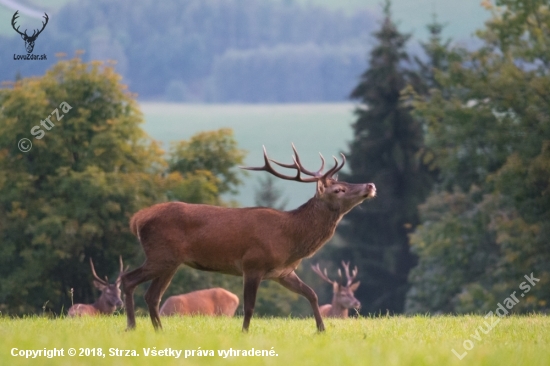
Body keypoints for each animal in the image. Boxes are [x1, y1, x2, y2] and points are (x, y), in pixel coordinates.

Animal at [122, 144, 378, 334]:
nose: (371, 185)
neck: (291, 240)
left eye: (345, 183)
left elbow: (312, 294)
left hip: (170, 261)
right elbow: (249, 306)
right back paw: (132, 326)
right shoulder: (253, 264)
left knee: (152, 295)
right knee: (128, 279)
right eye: (338, 190)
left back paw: (158, 330)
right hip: (160, 255)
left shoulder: (283, 272)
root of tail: (137, 219)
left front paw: (322, 330)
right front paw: (244, 333)